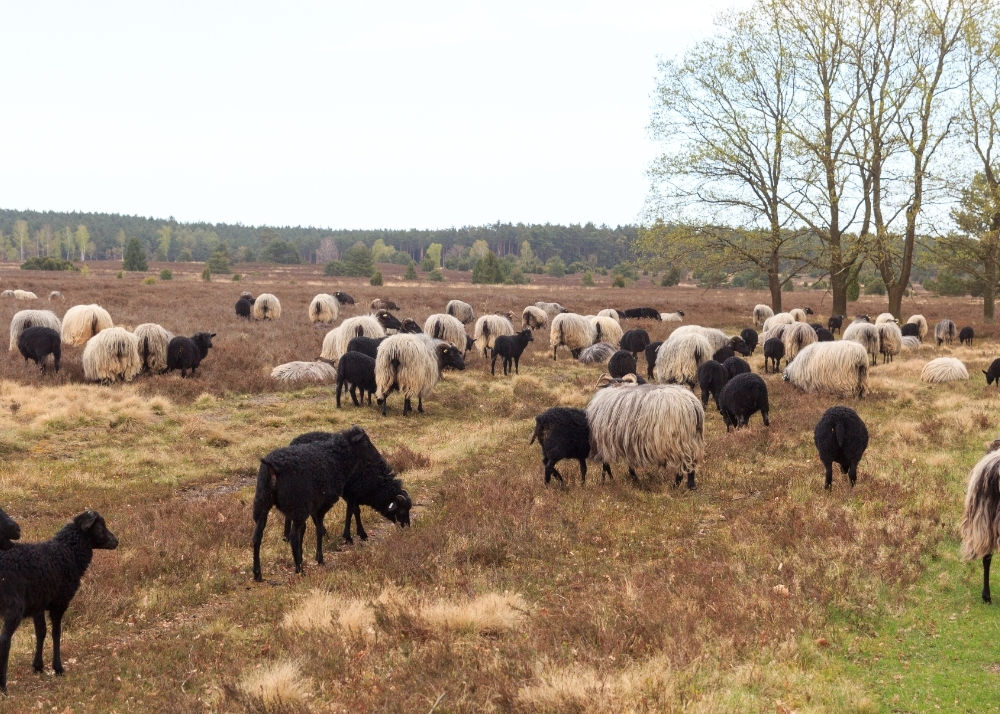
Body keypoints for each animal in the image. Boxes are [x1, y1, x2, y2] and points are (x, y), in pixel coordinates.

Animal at [0, 511, 118, 693]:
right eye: (100, 528)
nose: (116, 541)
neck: (66, 552)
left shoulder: (39, 604)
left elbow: (41, 632)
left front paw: (38, 666)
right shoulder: (59, 603)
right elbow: (56, 633)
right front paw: (58, 668)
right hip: (13, 606)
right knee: (5, 641)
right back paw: (3, 687)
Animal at [251, 425, 398, 579]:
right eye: (364, 443)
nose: (378, 457)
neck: (336, 457)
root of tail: (273, 467)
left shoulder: (315, 505)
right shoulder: (323, 504)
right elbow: (319, 530)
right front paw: (319, 558)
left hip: (263, 502)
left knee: (257, 537)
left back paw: (257, 574)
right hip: (297, 506)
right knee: (293, 537)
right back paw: (299, 569)